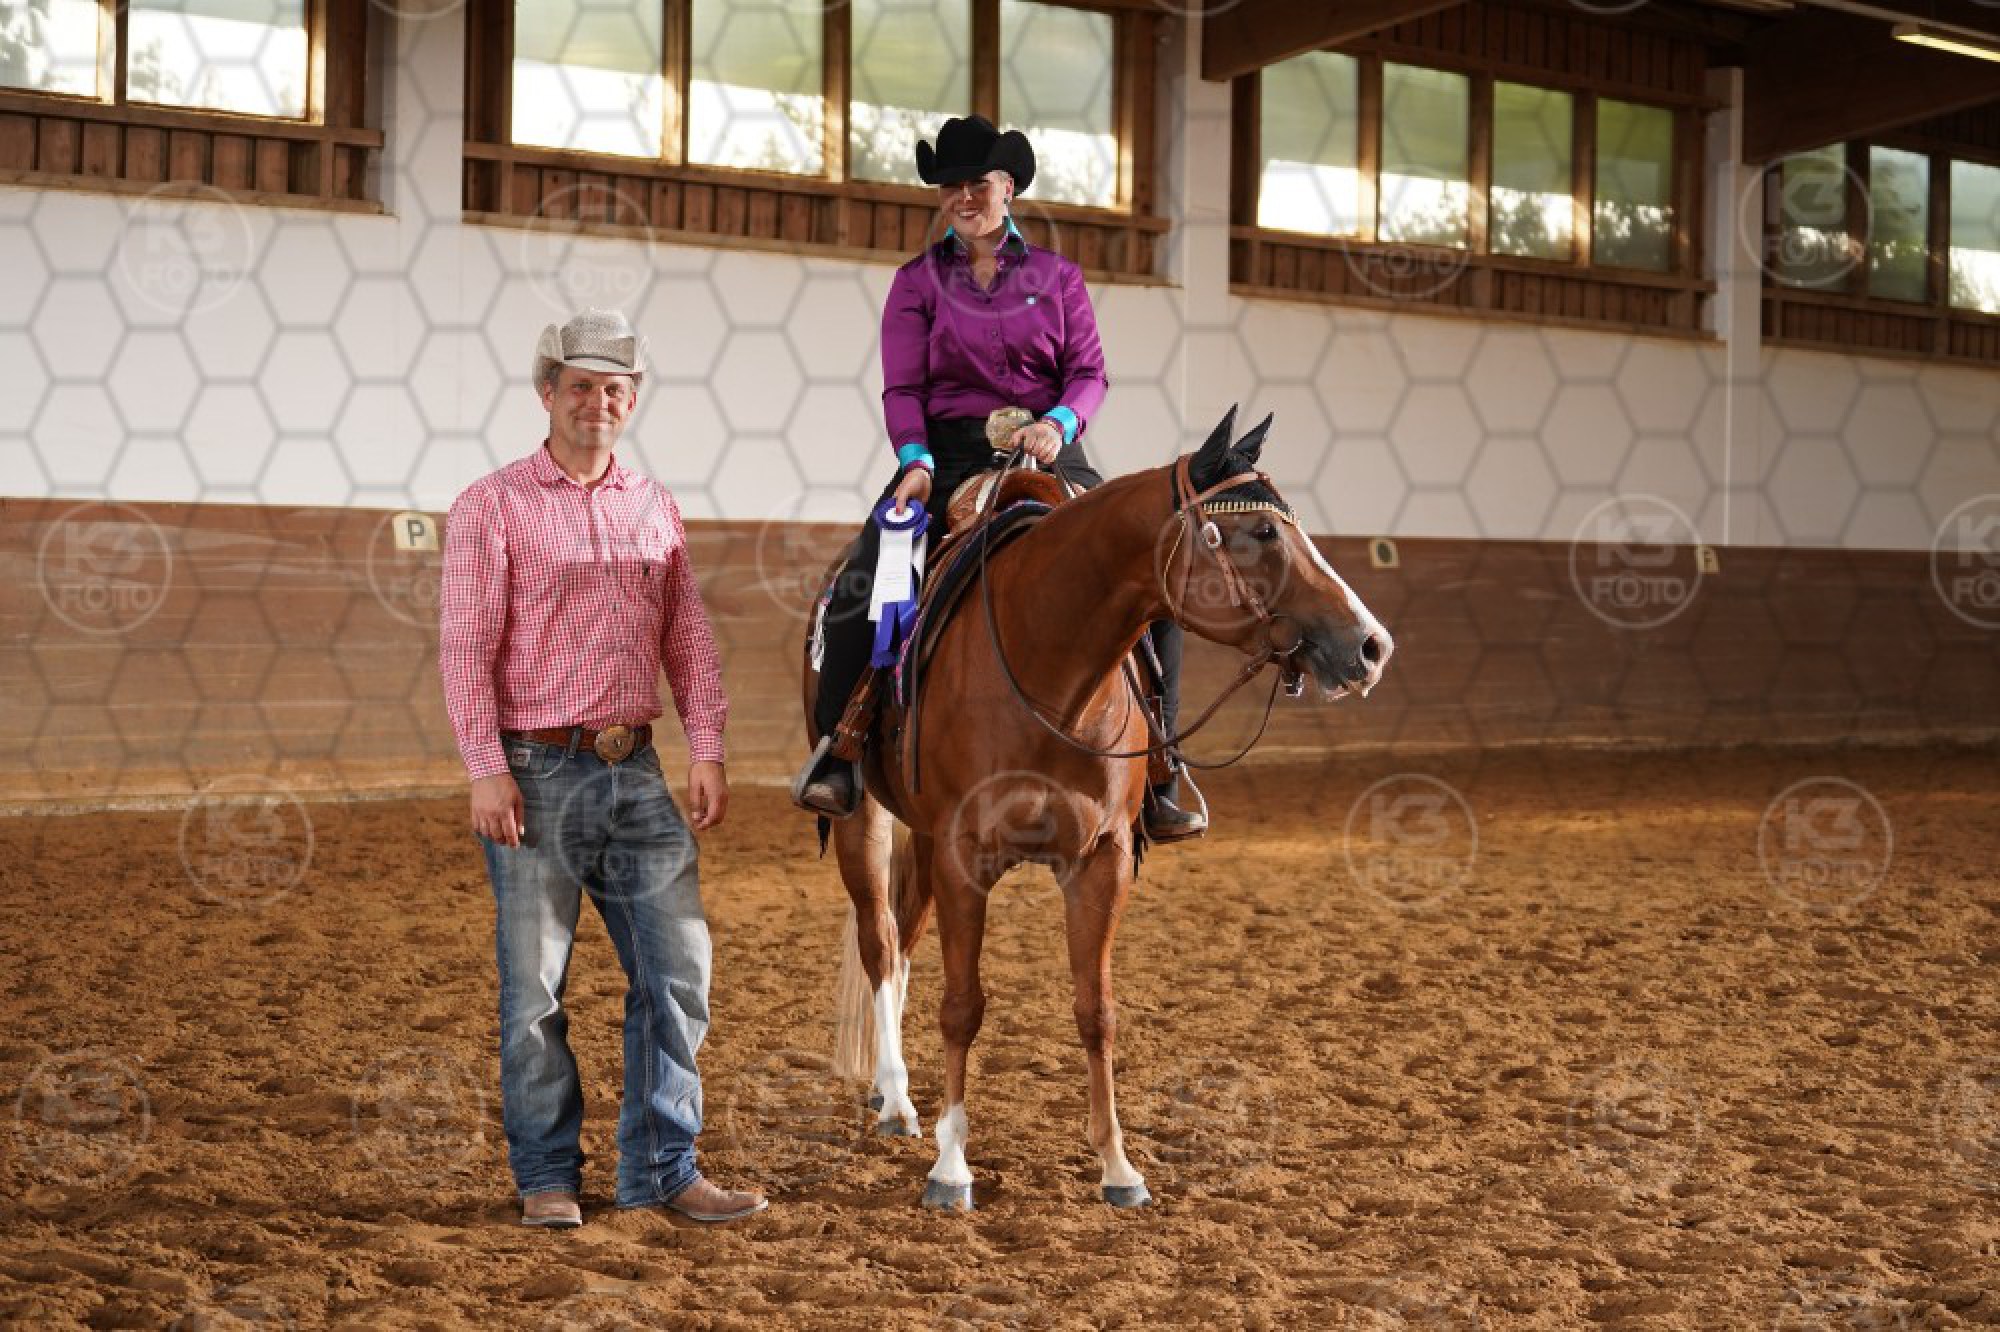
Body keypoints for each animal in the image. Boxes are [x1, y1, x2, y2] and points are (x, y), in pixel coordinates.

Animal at [800, 405, 1394, 1209]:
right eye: (1263, 532)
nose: (1371, 646)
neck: (1049, 666)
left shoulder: (1100, 861)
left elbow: (1097, 1010)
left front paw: (1118, 1166)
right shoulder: (964, 858)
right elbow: (964, 1007)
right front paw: (952, 1169)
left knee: (906, 938)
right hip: (864, 823)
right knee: (881, 943)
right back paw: (894, 1100)